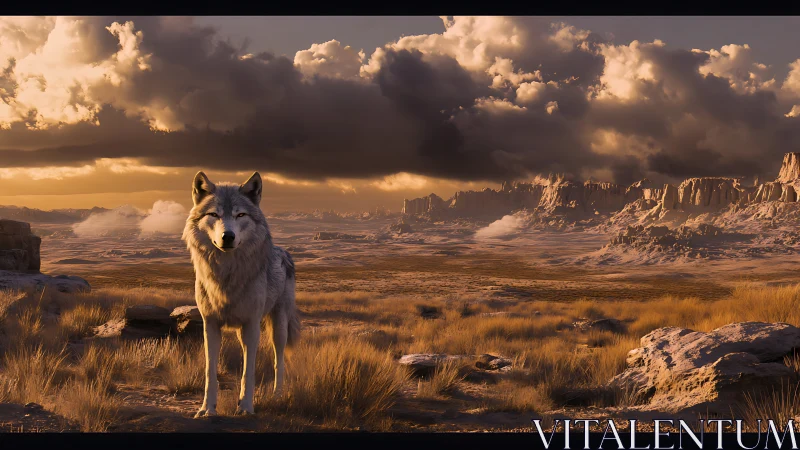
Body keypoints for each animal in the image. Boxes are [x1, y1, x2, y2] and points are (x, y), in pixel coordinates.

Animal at [182, 171, 300, 417]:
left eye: (240, 214)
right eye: (214, 214)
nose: (228, 236)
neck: (226, 276)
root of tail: (283, 251)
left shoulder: (252, 325)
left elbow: (249, 371)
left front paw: (246, 407)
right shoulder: (210, 324)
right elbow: (210, 372)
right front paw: (207, 409)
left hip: (278, 327)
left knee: (279, 361)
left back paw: (277, 395)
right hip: (240, 331)